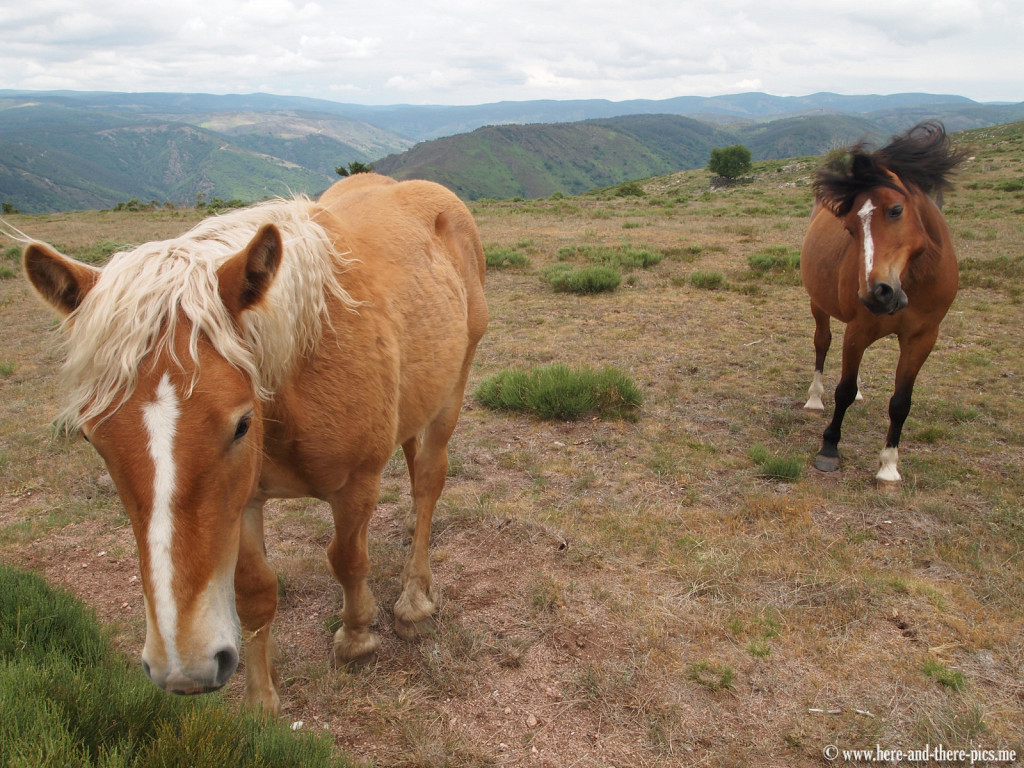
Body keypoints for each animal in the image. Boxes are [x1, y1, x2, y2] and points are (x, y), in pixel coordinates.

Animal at [21, 173, 488, 715]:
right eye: (91, 436)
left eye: (242, 424)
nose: (183, 666)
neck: (299, 369)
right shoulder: (241, 501)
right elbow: (254, 591)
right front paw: (261, 700)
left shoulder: (356, 485)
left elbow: (347, 560)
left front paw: (356, 638)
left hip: (453, 389)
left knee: (429, 480)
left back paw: (414, 601)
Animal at [800, 121, 965, 485]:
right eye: (849, 228)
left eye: (896, 210)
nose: (878, 292)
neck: (911, 280)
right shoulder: (858, 329)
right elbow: (843, 391)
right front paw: (829, 447)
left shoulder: (922, 338)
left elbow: (901, 402)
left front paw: (889, 465)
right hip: (819, 304)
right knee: (822, 343)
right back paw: (815, 397)